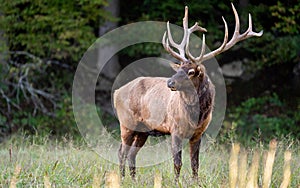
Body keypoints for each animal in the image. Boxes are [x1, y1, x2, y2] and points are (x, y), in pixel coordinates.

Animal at [113, 3, 262, 181]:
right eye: (179, 68)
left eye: (191, 72)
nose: (170, 82)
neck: (195, 115)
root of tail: (116, 92)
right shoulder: (175, 130)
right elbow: (177, 163)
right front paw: (176, 182)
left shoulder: (199, 133)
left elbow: (195, 164)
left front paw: (195, 182)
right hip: (126, 123)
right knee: (121, 151)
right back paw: (121, 179)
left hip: (143, 130)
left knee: (131, 154)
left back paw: (133, 180)